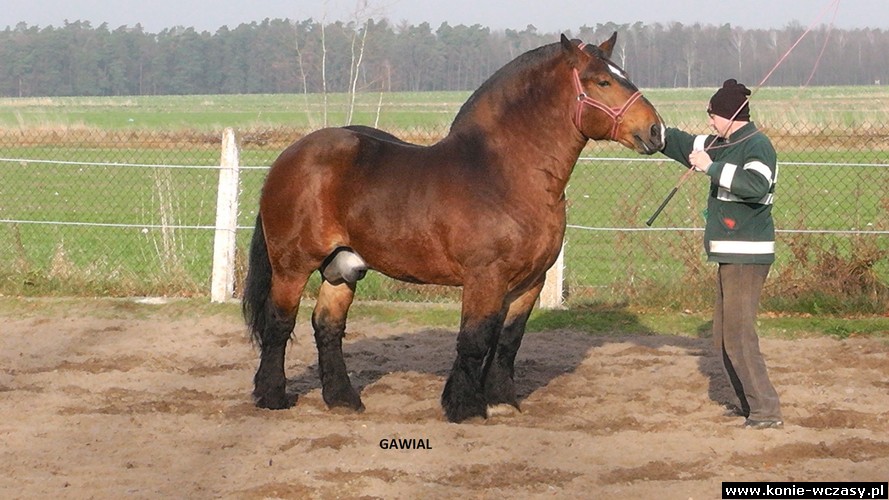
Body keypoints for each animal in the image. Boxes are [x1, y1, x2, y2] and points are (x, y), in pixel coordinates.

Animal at [242, 33, 664, 423]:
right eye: (602, 81)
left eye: (624, 76)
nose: (656, 130)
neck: (503, 175)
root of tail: (289, 157)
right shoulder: (485, 277)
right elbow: (475, 339)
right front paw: (465, 407)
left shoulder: (530, 282)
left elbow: (507, 341)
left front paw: (501, 400)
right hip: (292, 265)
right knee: (279, 323)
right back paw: (272, 396)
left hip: (343, 266)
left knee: (327, 326)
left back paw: (344, 399)